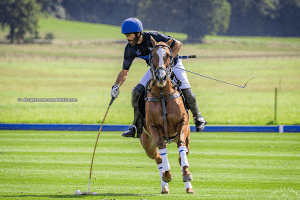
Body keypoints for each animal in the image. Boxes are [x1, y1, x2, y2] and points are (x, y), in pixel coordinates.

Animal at [141, 36, 195, 194]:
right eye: (152, 55)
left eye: (169, 56)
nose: (161, 77)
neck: (162, 94)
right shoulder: (153, 127)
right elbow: (161, 146)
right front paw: (167, 174)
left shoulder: (183, 123)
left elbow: (181, 146)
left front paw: (186, 174)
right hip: (147, 143)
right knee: (158, 158)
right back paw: (164, 185)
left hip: (186, 137)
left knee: (182, 154)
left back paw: (188, 187)